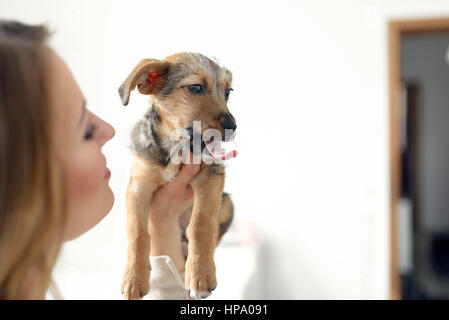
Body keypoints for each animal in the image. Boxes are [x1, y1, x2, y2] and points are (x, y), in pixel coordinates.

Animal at [119, 52, 238, 300]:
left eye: (227, 93)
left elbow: (200, 223)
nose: (233, 126)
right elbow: (137, 231)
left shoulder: (211, 178)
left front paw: (201, 274)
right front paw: (134, 277)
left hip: (228, 203)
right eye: (195, 88)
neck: (176, 148)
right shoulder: (138, 186)